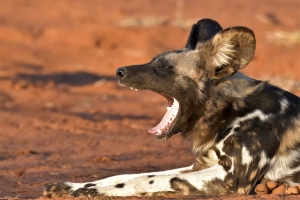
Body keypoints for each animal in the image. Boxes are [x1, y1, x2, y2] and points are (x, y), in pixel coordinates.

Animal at [42, 19, 300, 198]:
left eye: (165, 67)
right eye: (152, 61)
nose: (119, 71)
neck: (231, 111)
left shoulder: (230, 177)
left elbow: (143, 180)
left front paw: (89, 192)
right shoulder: (202, 164)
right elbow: (127, 175)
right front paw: (72, 187)